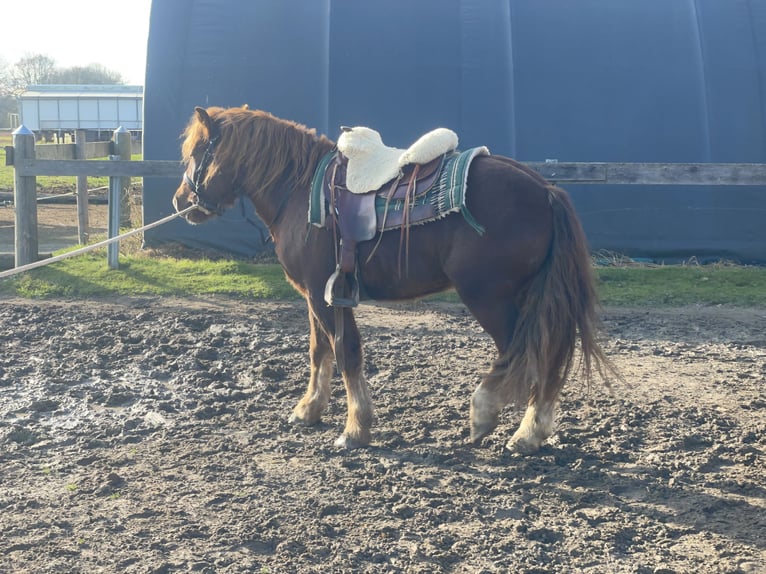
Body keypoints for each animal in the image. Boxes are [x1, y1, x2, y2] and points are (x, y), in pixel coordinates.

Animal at [171, 103, 616, 454]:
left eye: (198, 151)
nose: (180, 201)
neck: (298, 190)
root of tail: (545, 189)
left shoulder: (326, 294)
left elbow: (346, 352)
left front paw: (355, 429)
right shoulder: (313, 296)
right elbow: (319, 351)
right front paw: (308, 410)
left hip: (490, 298)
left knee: (523, 354)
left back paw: (493, 418)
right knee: (548, 356)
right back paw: (531, 431)